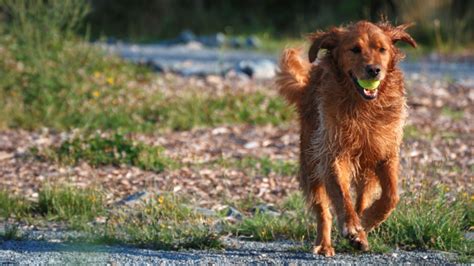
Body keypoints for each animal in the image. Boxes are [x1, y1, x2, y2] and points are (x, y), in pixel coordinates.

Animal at [276, 21, 416, 256]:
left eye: (382, 49)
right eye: (355, 49)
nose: (374, 70)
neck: (363, 107)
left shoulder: (386, 154)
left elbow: (391, 197)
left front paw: (365, 223)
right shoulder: (333, 154)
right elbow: (341, 196)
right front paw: (351, 226)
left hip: (366, 172)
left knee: (361, 199)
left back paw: (361, 232)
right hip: (311, 163)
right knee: (323, 210)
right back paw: (325, 244)